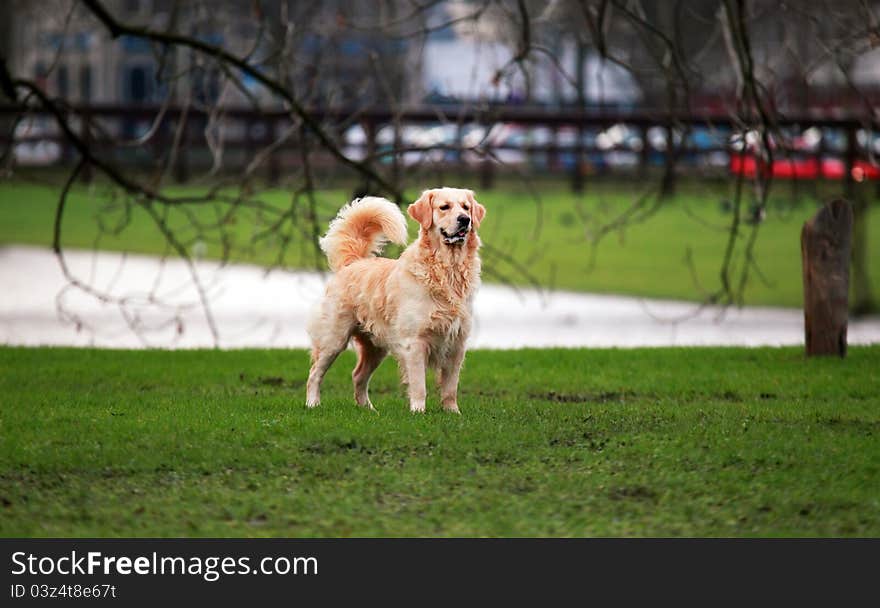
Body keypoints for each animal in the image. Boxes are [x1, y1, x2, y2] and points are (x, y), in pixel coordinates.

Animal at [308, 185, 488, 414]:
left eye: (466, 207)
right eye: (444, 207)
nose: (465, 219)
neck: (447, 270)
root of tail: (352, 262)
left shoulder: (457, 344)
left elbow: (450, 387)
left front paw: (453, 412)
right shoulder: (415, 343)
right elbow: (419, 385)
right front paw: (418, 412)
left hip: (375, 347)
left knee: (358, 376)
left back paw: (369, 409)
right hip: (333, 339)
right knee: (315, 373)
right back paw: (312, 403)